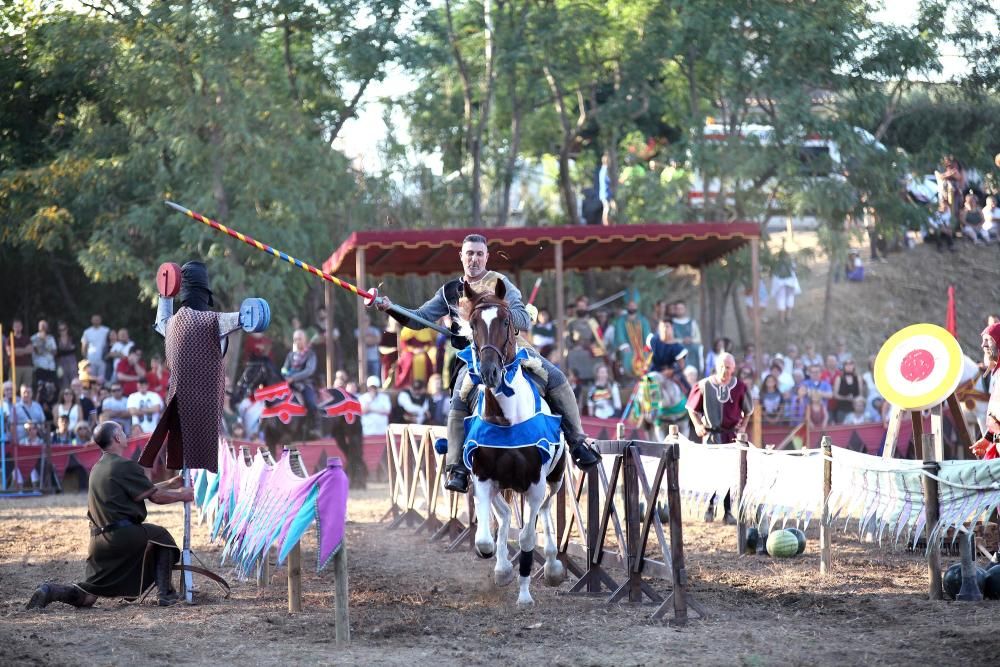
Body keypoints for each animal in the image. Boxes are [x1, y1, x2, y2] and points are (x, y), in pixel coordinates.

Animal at [458, 280, 564, 604]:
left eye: (506, 321)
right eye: (473, 324)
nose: (489, 373)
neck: (507, 418)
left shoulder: (536, 483)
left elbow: (529, 537)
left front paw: (526, 595)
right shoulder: (482, 477)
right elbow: (484, 540)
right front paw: (502, 569)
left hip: (555, 479)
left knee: (546, 510)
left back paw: (553, 567)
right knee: (504, 517)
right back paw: (504, 568)